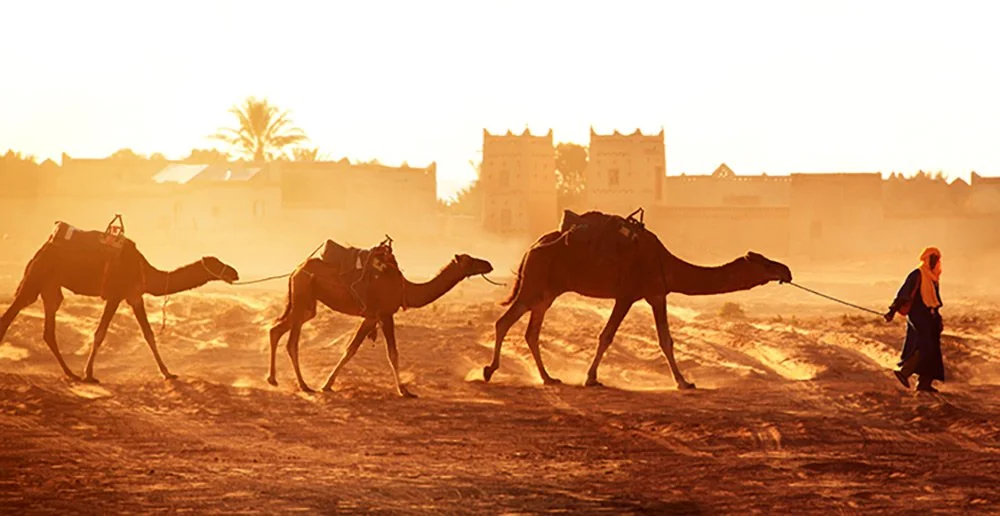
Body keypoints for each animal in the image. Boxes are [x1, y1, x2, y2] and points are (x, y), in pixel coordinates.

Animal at [0, 221, 239, 383]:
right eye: (217, 263)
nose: (234, 272)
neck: (145, 271)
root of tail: (43, 247)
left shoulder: (134, 295)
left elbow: (149, 334)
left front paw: (168, 373)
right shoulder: (116, 294)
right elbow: (100, 333)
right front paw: (89, 374)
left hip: (50, 286)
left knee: (48, 328)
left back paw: (70, 373)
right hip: (37, 276)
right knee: (12, 314)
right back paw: (73, 373)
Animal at [268, 241, 493, 396]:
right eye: (470, 260)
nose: (489, 264)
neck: (406, 289)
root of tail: (296, 270)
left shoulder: (374, 316)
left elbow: (356, 349)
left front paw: (328, 384)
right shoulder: (382, 314)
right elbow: (382, 352)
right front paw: (404, 391)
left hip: (306, 303)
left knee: (276, 329)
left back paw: (273, 379)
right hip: (302, 295)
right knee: (291, 342)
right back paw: (304, 385)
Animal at [483, 209, 793, 389]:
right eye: (764, 263)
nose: (786, 270)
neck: (665, 263)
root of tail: (530, 248)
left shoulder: (650, 294)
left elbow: (661, 339)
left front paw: (683, 381)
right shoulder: (634, 293)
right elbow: (612, 336)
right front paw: (591, 378)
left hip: (547, 291)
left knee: (530, 331)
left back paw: (548, 378)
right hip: (535, 284)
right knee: (504, 322)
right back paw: (489, 371)